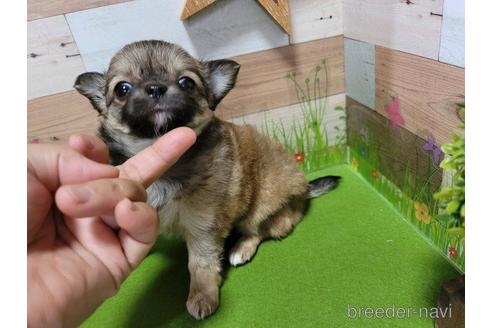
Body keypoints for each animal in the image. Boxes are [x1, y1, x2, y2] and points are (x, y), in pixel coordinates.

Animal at [75, 39, 340, 320]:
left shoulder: (203, 225)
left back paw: (241, 250)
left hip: (262, 205)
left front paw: (202, 296)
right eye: (122, 89)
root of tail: (304, 191)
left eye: (186, 83)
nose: (155, 88)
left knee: (260, 230)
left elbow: (201, 263)